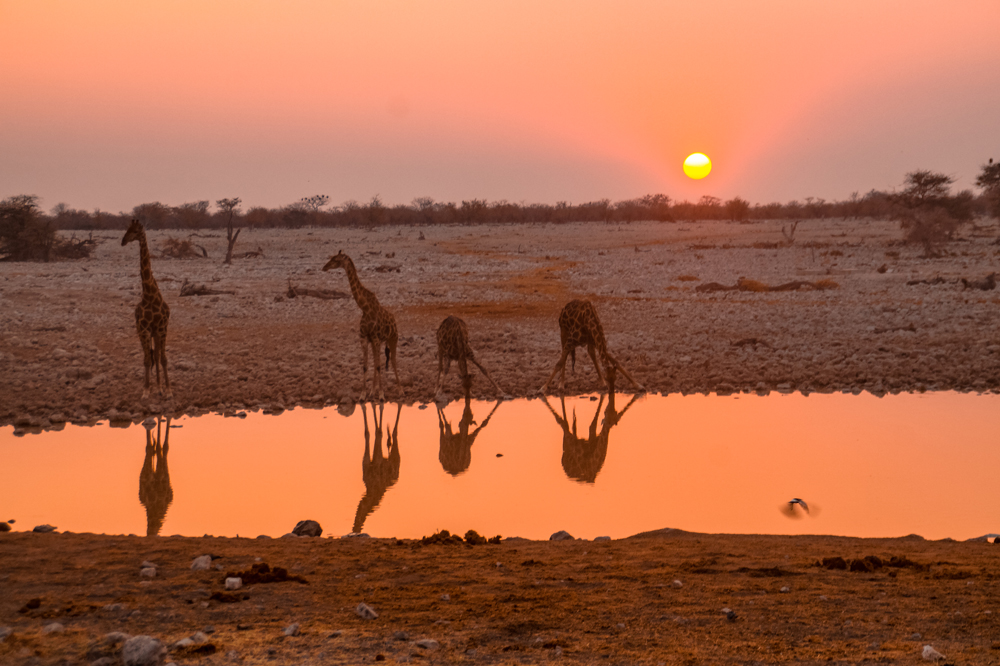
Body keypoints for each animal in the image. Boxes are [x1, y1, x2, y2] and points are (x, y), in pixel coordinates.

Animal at [122, 219, 173, 400]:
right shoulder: (143, 329)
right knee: (151, 356)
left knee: (156, 355)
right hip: (146, 332)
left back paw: (159, 387)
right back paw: (154, 387)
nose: (123, 241)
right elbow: (146, 360)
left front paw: (168, 390)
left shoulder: (162, 328)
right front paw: (145, 391)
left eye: (136, 231)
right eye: (127, 228)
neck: (150, 295)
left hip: (156, 332)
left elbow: (163, 358)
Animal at [322, 250, 396, 400]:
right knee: (377, 362)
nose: (324, 267)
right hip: (377, 342)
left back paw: (396, 390)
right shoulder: (364, 338)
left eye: (336, 259)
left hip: (391, 339)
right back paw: (372, 392)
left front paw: (381, 395)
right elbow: (366, 366)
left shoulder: (375, 338)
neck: (365, 308)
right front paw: (363, 395)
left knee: (391, 363)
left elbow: (378, 366)